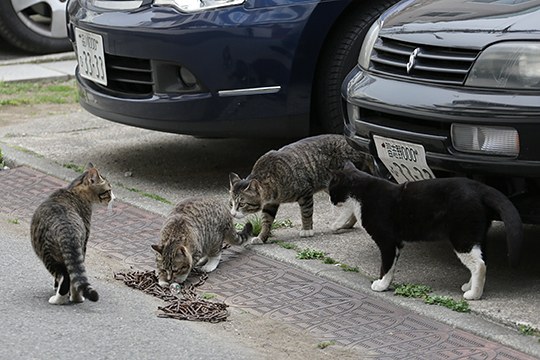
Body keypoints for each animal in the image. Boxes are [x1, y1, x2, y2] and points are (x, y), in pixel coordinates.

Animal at [30, 163, 114, 304]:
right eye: (108, 190)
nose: (114, 197)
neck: (74, 190)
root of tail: (66, 229)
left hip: (49, 255)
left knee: (66, 277)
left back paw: (61, 299)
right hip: (73, 251)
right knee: (72, 278)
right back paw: (74, 298)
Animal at [228, 134, 372, 243]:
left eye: (242, 204)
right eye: (231, 204)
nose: (233, 214)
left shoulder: (305, 193)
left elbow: (306, 213)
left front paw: (307, 230)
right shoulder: (271, 203)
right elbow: (266, 220)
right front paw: (261, 237)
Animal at [326, 162, 520, 300]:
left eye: (331, 189)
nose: (330, 201)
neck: (361, 194)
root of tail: (480, 188)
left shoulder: (387, 241)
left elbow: (386, 266)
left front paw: (381, 285)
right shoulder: (396, 243)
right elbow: (389, 266)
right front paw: (383, 283)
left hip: (462, 237)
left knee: (479, 265)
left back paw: (474, 294)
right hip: (476, 236)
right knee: (482, 259)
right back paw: (469, 286)